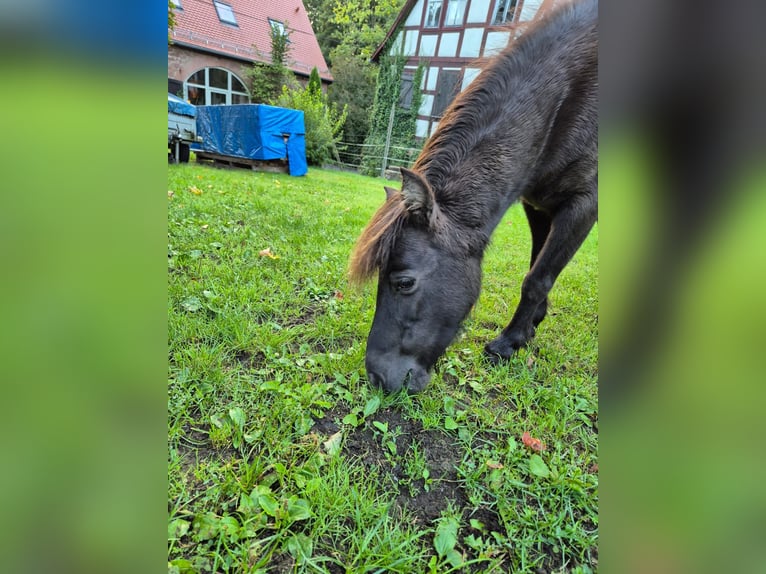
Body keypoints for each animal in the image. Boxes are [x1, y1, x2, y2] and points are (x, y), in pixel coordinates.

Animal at [349, 0, 598, 393]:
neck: (570, 94)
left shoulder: (583, 204)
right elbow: (538, 265)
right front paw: (531, 326)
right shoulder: (539, 205)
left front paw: (508, 343)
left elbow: (537, 278)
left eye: (404, 283)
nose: (377, 377)